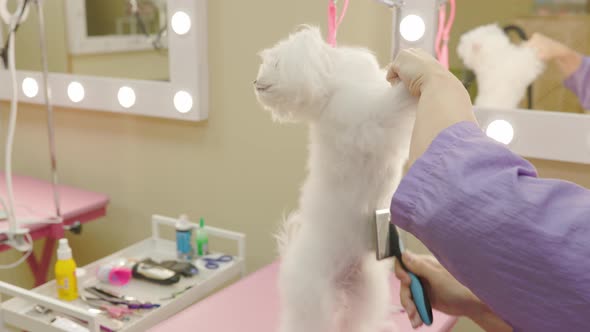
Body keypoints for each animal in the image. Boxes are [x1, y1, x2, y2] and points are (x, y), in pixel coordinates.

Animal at [254, 26, 416, 332]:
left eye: (276, 63)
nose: (254, 82)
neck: (333, 85)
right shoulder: (370, 122)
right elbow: (393, 105)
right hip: (313, 298)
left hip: (366, 291)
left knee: (356, 321)